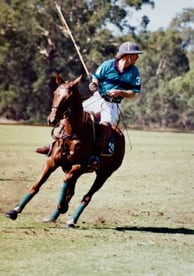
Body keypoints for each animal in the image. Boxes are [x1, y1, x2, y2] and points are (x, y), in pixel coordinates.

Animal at [5, 75, 126, 226]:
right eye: (55, 93)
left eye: (69, 97)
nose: (52, 119)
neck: (72, 133)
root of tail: (120, 133)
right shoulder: (52, 162)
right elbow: (36, 186)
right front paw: (14, 211)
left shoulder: (80, 165)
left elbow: (66, 181)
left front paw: (62, 206)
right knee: (71, 191)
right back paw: (52, 217)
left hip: (104, 173)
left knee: (87, 196)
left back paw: (71, 220)